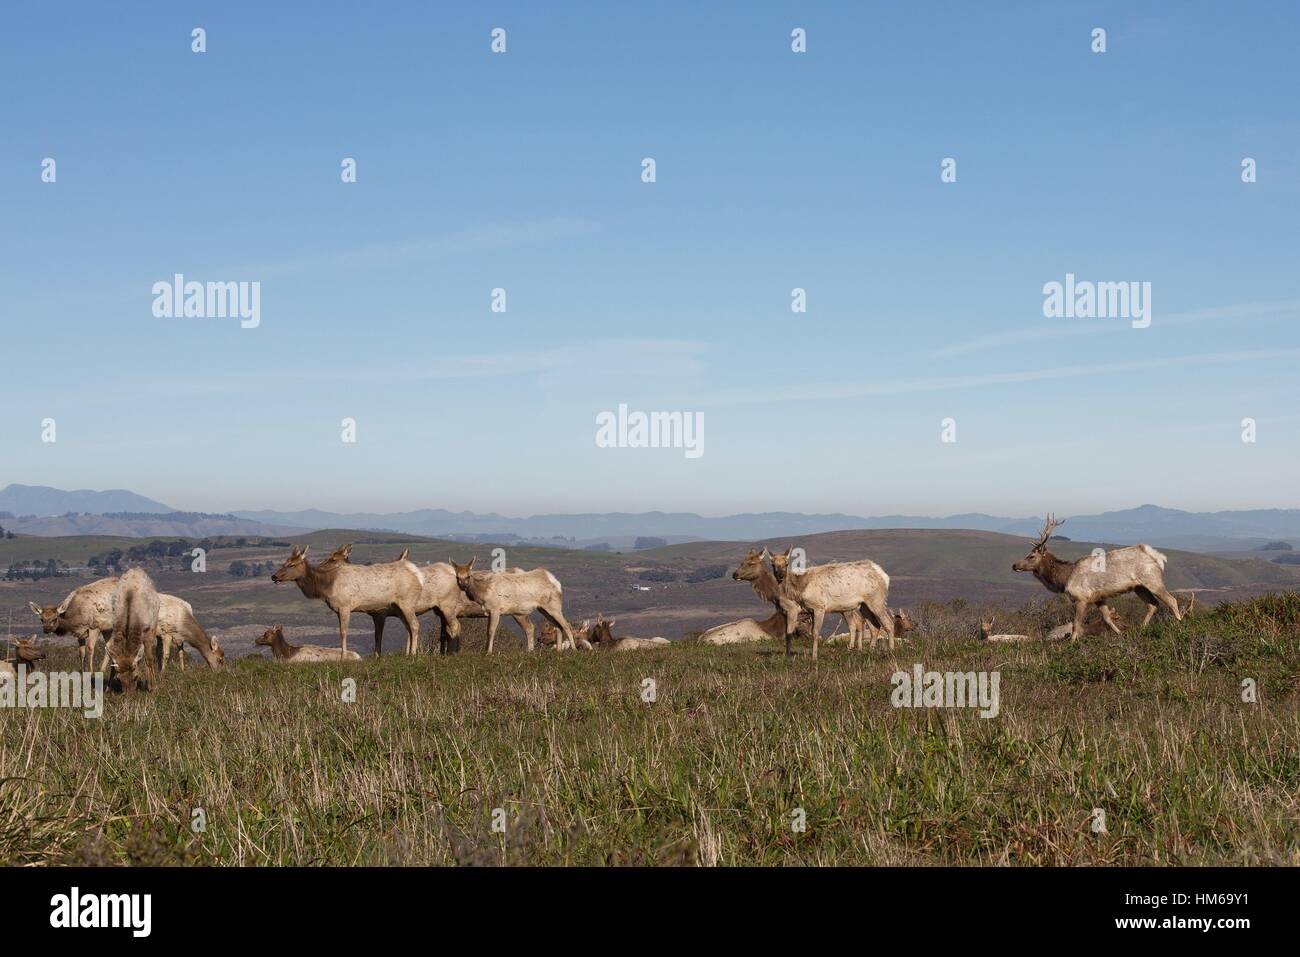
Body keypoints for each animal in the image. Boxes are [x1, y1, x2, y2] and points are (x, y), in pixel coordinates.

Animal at [273, 546, 423, 657]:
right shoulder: (339, 610)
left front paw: (343, 658)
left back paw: (413, 655)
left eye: (292, 565)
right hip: (398, 607)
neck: (327, 586)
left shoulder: (345, 605)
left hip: (407, 601)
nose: (274, 576)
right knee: (409, 627)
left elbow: (343, 632)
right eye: (284, 562)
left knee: (415, 625)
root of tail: (418, 576)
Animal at [1008, 514, 1185, 642]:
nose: (1015, 565)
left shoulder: (1081, 597)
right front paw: (1120, 634)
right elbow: (1107, 618)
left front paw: (1072, 643)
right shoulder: (1099, 598)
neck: (1064, 579)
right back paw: (1142, 629)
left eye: (1031, 556)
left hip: (1152, 579)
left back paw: (1180, 624)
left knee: (1171, 600)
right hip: (1139, 587)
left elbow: (1076, 624)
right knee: (1153, 604)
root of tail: (1157, 556)